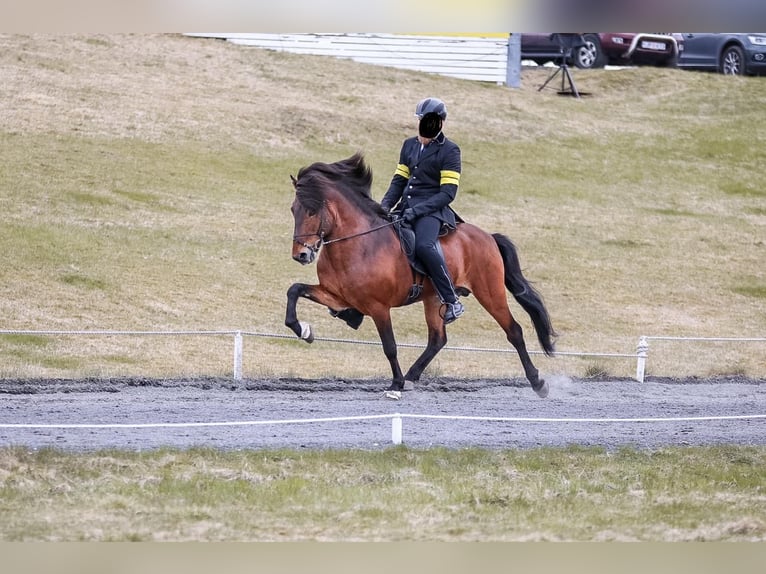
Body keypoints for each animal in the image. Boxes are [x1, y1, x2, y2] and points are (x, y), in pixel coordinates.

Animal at [284, 152, 556, 400]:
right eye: (293, 209)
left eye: (311, 211)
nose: (301, 255)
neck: (358, 244)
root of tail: (488, 236)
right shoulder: (338, 297)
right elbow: (294, 290)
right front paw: (304, 330)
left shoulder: (378, 307)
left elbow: (390, 346)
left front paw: (395, 385)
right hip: (434, 297)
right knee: (437, 339)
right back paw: (412, 377)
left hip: (489, 292)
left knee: (514, 331)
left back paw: (538, 383)